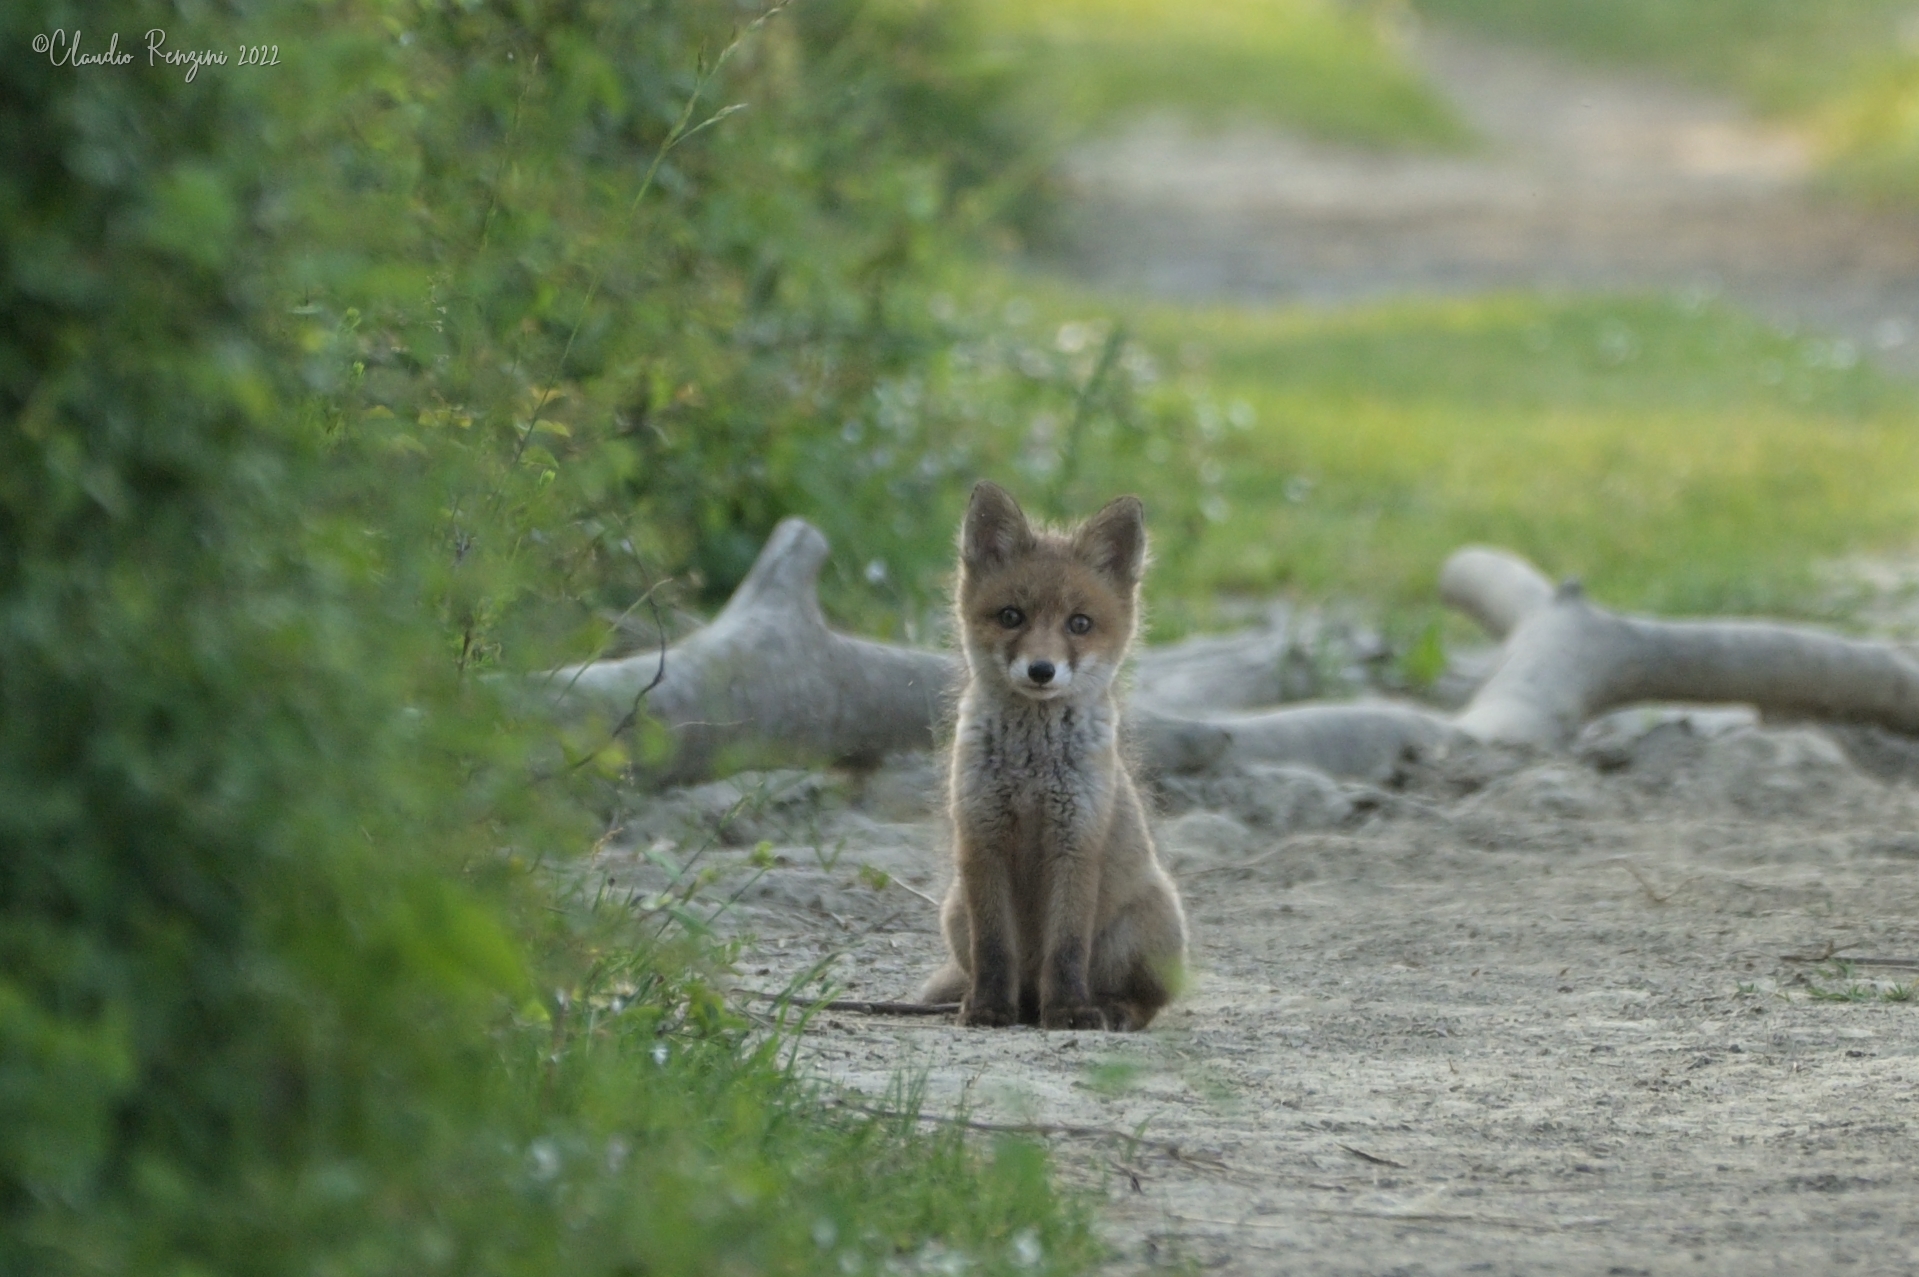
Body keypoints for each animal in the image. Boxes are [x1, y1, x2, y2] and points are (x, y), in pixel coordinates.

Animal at [919, 482, 1188, 1031]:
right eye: (1011, 617)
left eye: (1079, 623)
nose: (1041, 670)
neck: (1031, 769)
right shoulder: (981, 838)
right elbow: (993, 949)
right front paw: (987, 1008)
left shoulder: (1077, 839)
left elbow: (1065, 948)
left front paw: (1067, 1010)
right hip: (954, 912)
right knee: (1010, 979)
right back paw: (1015, 1005)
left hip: (1149, 926)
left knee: (1144, 1002)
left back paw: (1109, 1008)